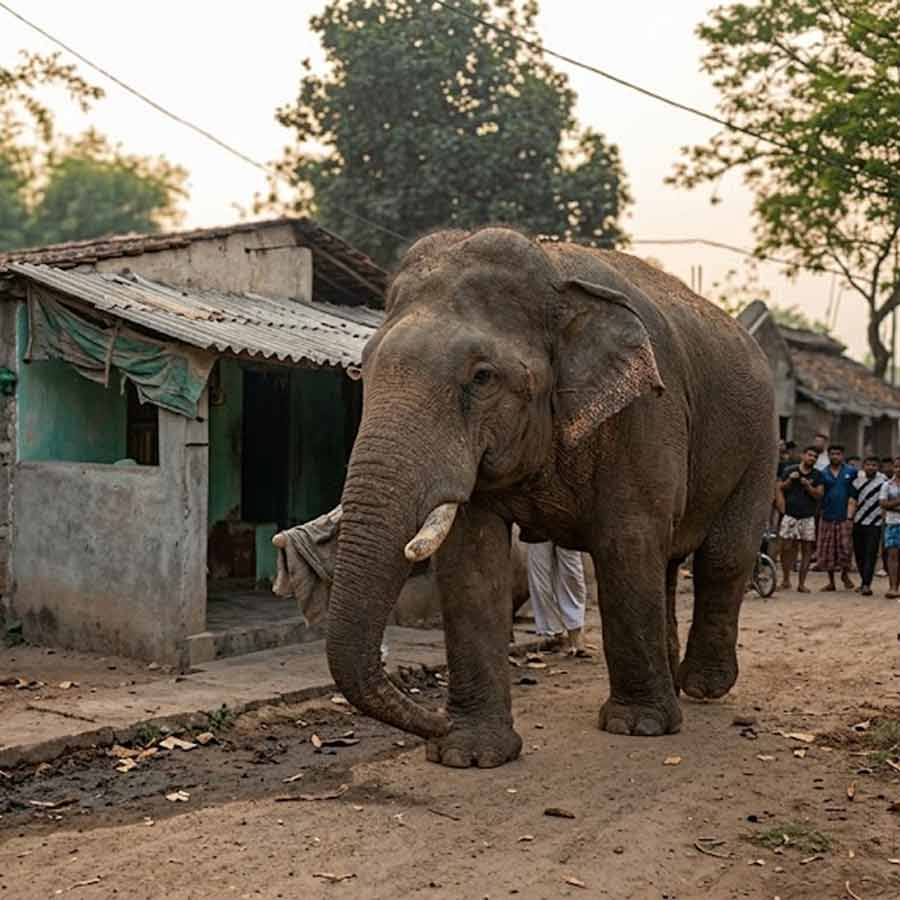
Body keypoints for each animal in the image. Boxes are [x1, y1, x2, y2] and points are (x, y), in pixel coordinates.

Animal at [326, 226, 776, 768]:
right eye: (364, 369)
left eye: (483, 377)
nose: (434, 722)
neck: (555, 275)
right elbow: (470, 559)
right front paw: (469, 754)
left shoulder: (646, 412)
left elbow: (627, 541)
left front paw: (638, 727)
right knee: (668, 561)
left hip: (760, 445)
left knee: (723, 557)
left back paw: (703, 689)